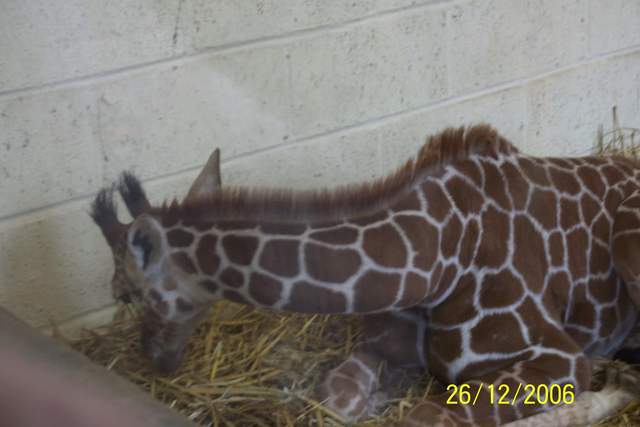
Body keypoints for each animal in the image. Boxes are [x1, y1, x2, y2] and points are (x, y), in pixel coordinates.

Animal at [91, 125, 640, 426]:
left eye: (124, 294)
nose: (154, 359)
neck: (436, 262)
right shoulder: (385, 346)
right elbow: (337, 397)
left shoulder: (559, 359)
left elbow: (427, 415)